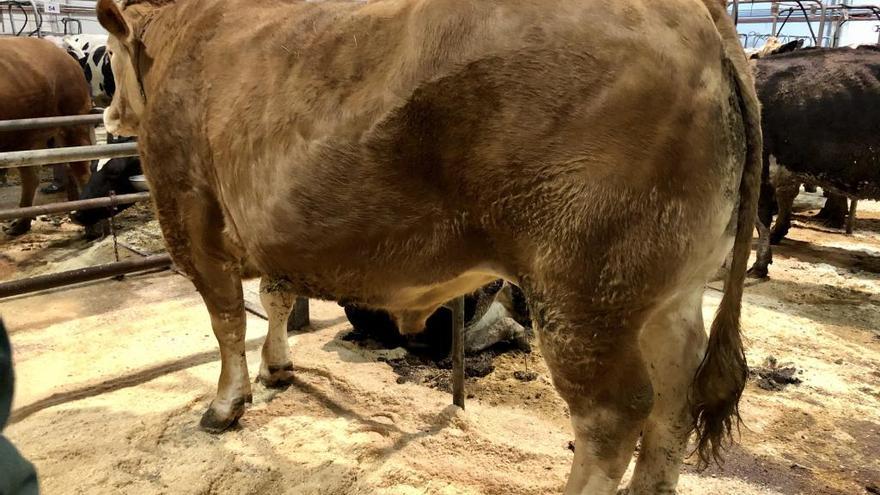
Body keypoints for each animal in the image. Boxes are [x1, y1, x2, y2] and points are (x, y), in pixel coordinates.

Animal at [96, 0, 764, 492]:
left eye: (109, 52)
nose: (108, 115)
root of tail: (700, 18)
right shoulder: (276, 227)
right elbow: (276, 297)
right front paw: (279, 367)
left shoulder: (189, 213)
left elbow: (226, 319)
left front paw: (226, 404)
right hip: (669, 291)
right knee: (674, 399)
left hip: (584, 290)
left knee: (611, 417)